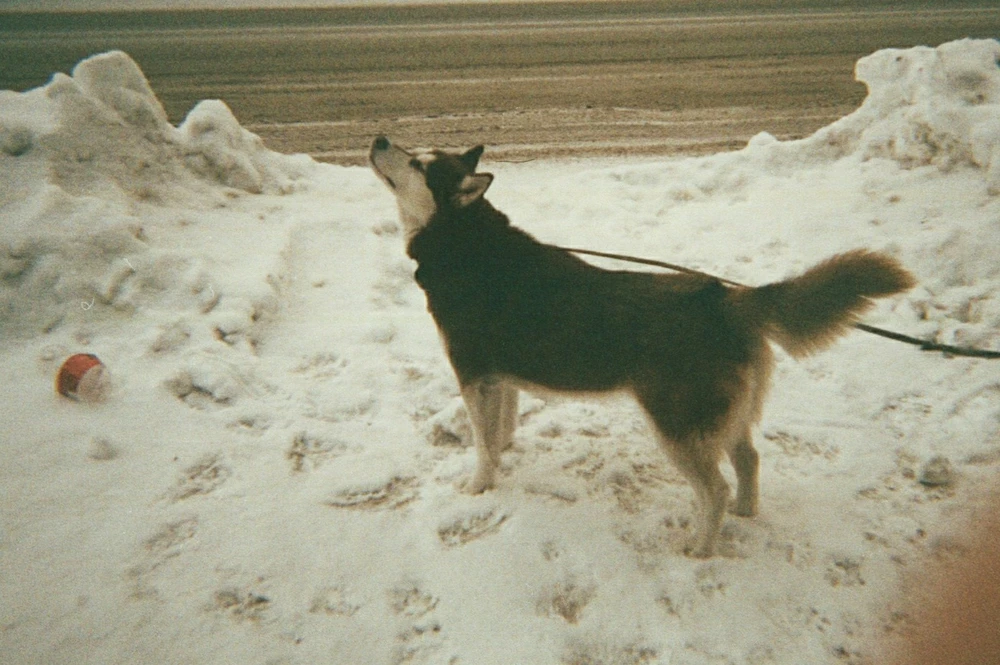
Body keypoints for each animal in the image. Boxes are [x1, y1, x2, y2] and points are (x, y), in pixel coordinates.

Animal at [370, 136, 916, 556]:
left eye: (418, 163)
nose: (378, 138)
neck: (466, 246)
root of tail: (722, 297)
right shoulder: (500, 377)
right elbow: (500, 430)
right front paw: (505, 454)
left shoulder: (472, 374)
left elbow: (482, 446)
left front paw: (480, 486)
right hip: (722, 416)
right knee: (748, 459)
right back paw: (747, 511)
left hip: (677, 426)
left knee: (715, 488)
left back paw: (701, 548)